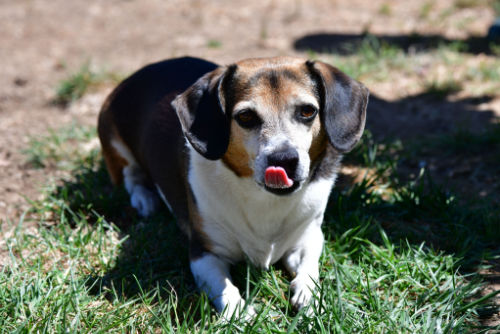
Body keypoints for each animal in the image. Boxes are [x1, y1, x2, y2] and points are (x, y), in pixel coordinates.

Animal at [97, 56, 370, 318]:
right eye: (246, 116)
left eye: (307, 111)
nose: (283, 159)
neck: (265, 198)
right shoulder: (204, 252)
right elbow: (224, 287)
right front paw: (239, 312)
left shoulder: (309, 237)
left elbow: (309, 268)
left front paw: (309, 296)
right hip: (115, 141)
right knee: (130, 174)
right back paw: (144, 198)